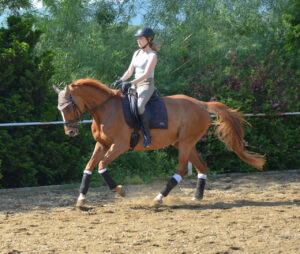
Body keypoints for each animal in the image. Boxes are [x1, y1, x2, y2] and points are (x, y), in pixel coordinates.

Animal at [53, 78, 264, 207]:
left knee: (181, 170)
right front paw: (81, 199)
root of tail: (202, 105)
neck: (105, 110)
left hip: (185, 143)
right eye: (59, 108)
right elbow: (88, 168)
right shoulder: (102, 144)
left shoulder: (119, 146)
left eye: (68, 106)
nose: (70, 132)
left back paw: (158, 198)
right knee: (201, 166)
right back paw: (197, 196)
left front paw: (120, 191)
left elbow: (102, 166)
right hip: (183, 143)